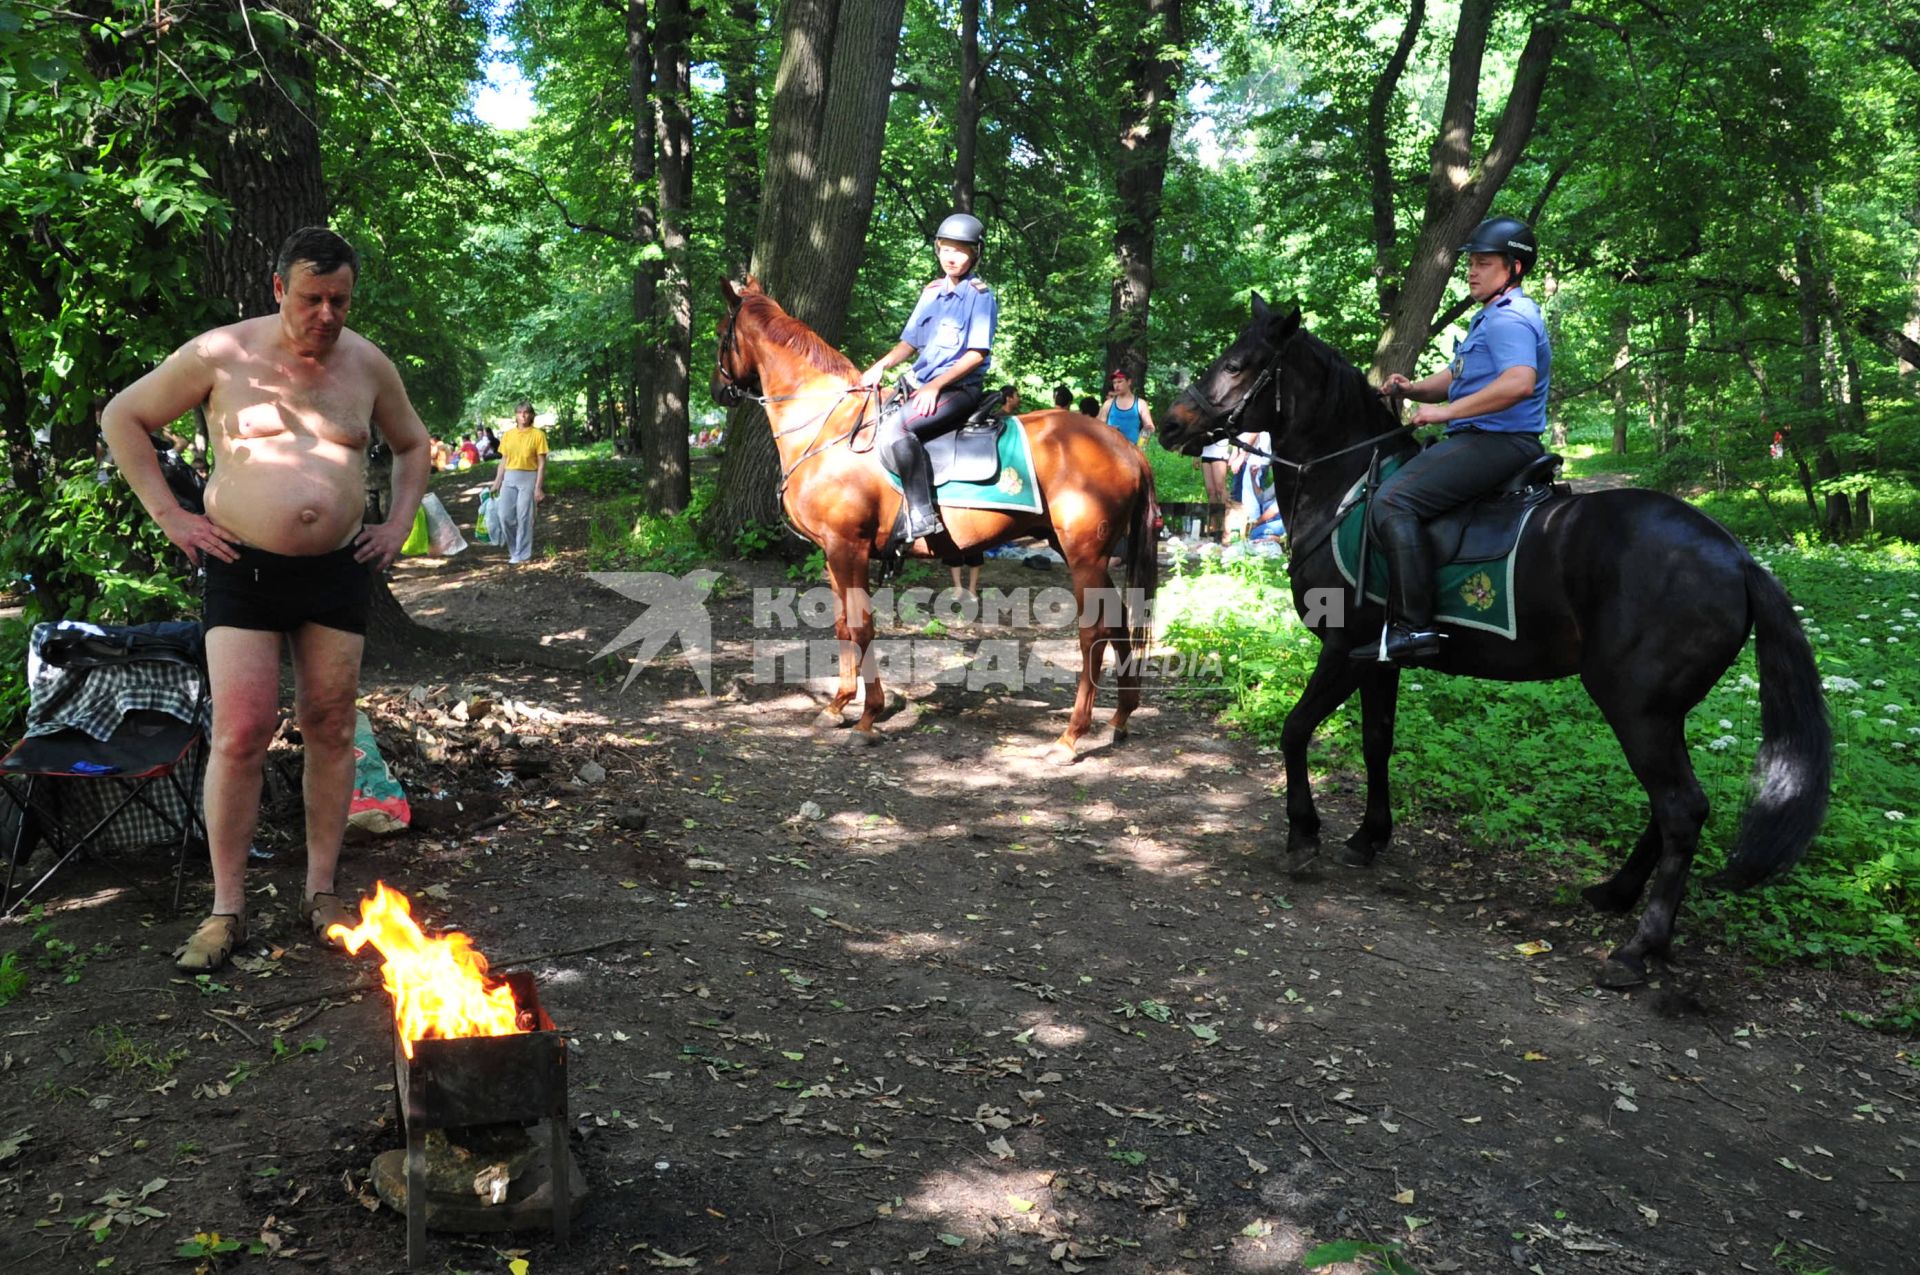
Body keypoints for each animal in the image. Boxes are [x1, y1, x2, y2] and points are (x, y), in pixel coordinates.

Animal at [710, 276, 1144, 756]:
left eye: (720, 333)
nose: (717, 390)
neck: (830, 428)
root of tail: (1125, 448)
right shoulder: (831, 553)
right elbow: (842, 625)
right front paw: (838, 705)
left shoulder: (849, 548)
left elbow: (861, 627)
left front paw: (868, 716)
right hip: (1085, 555)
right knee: (1118, 625)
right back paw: (1120, 717)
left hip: (1085, 556)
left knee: (1094, 633)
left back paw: (1071, 736)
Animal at [1159, 295, 1835, 983]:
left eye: (1237, 364)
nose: (1169, 423)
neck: (1347, 488)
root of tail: (1735, 556)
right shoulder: (1379, 659)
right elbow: (1378, 743)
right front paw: (1369, 837)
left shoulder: (1341, 649)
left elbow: (1295, 730)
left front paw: (1303, 834)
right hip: (1663, 710)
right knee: (1670, 804)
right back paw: (1615, 893)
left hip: (1635, 706)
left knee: (1680, 808)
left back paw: (1639, 947)